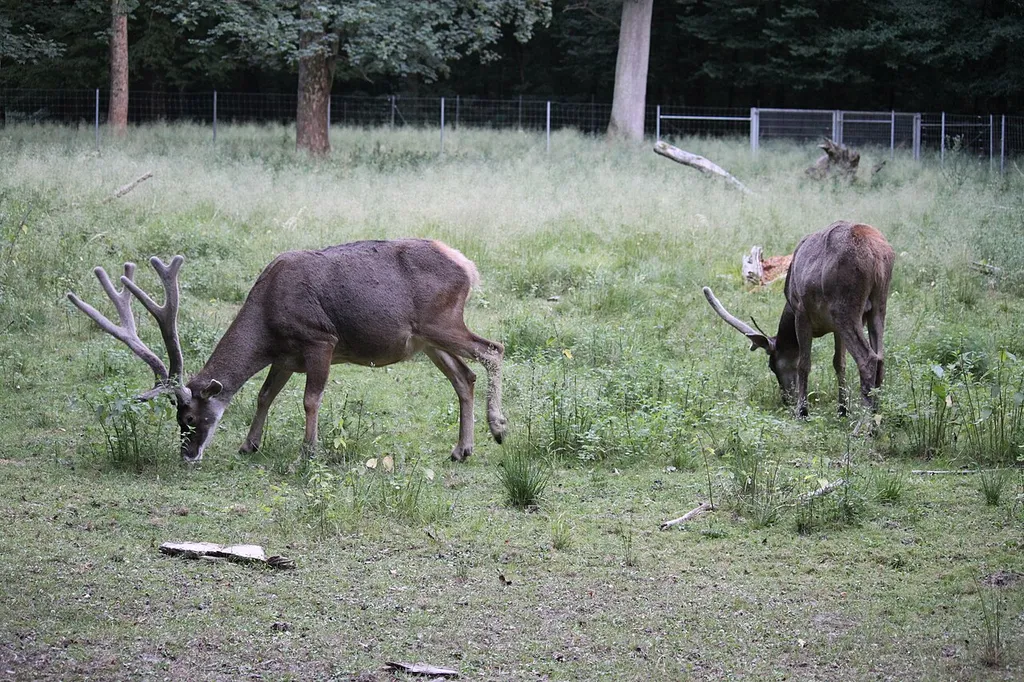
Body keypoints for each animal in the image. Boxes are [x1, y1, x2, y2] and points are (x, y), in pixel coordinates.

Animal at [67, 239, 507, 463]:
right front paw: (249, 444)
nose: (187, 455)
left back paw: (499, 428)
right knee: (464, 376)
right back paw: (462, 449)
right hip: (426, 340)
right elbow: (264, 395)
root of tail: (467, 265)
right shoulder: (284, 357)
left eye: (190, 417)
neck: (267, 320)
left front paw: (307, 452)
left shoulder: (320, 339)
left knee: (494, 348)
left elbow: (311, 399)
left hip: (442, 321)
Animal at [703, 220, 895, 418]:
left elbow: (804, 363)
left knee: (868, 358)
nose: (786, 399)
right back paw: (875, 413)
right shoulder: (835, 328)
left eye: (772, 365)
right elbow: (839, 363)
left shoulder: (802, 312)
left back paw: (864, 422)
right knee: (881, 357)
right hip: (878, 306)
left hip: (845, 308)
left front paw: (802, 411)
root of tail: (877, 255)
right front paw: (842, 410)